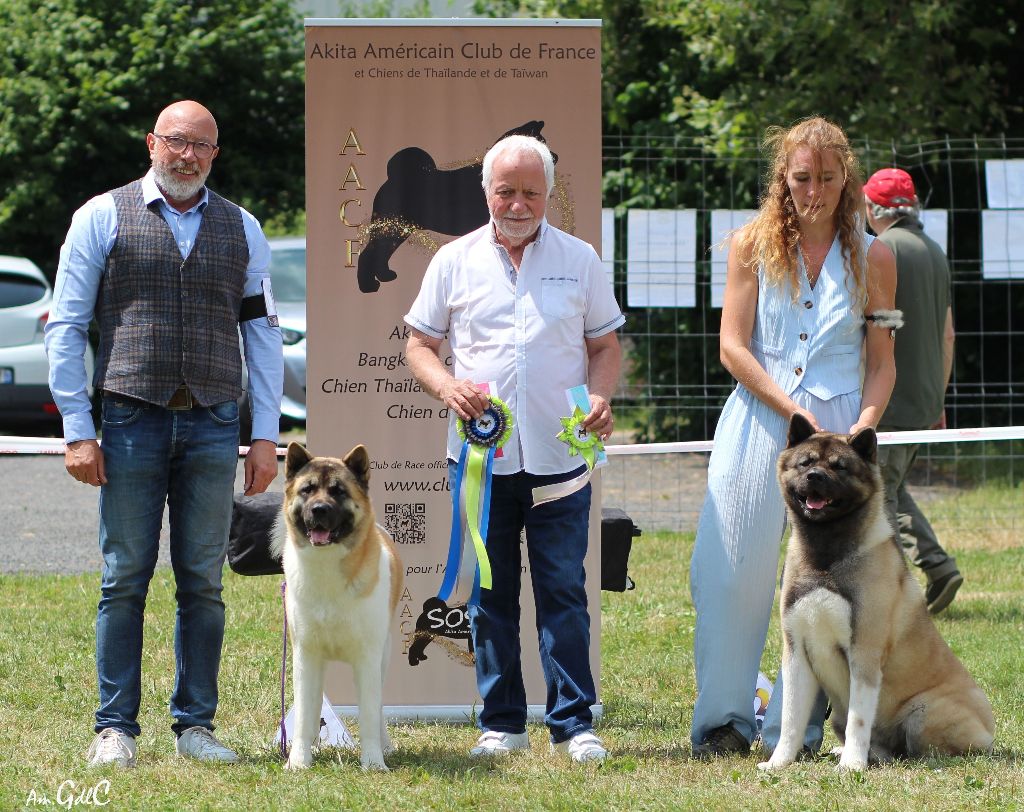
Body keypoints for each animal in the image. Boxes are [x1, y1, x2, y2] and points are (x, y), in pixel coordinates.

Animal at [272, 440, 403, 770]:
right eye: (307, 490)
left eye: (338, 491)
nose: (319, 509)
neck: (326, 565)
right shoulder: (306, 654)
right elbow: (304, 713)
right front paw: (298, 762)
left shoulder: (368, 658)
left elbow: (369, 713)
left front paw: (373, 763)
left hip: (383, 656)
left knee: (378, 709)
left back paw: (385, 746)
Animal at [761, 415, 991, 770]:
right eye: (806, 462)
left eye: (840, 466)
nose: (815, 477)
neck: (826, 555)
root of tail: (988, 730)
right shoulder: (796, 652)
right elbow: (790, 720)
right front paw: (778, 763)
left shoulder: (864, 653)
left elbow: (859, 719)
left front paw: (851, 767)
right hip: (838, 715)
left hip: (924, 712)